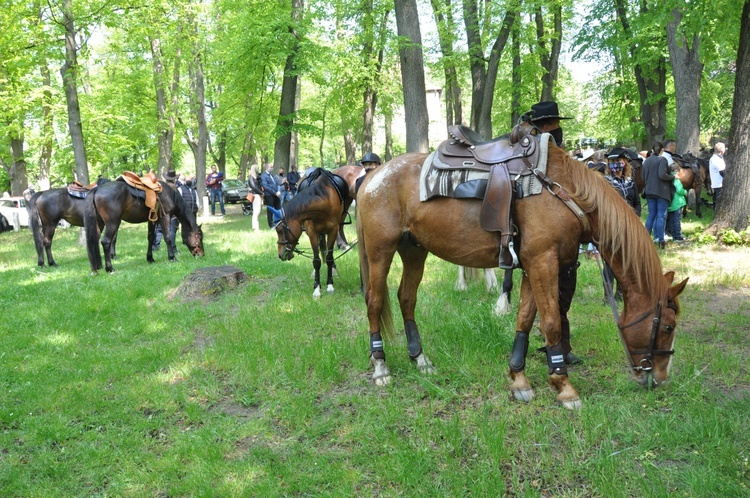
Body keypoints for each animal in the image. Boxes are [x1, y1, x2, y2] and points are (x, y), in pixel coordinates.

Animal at [270, 169, 352, 298]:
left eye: (280, 230)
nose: (280, 255)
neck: (325, 201)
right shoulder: (312, 233)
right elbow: (316, 261)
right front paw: (317, 288)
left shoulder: (333, 231)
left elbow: (329, 257)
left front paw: (330, 285)